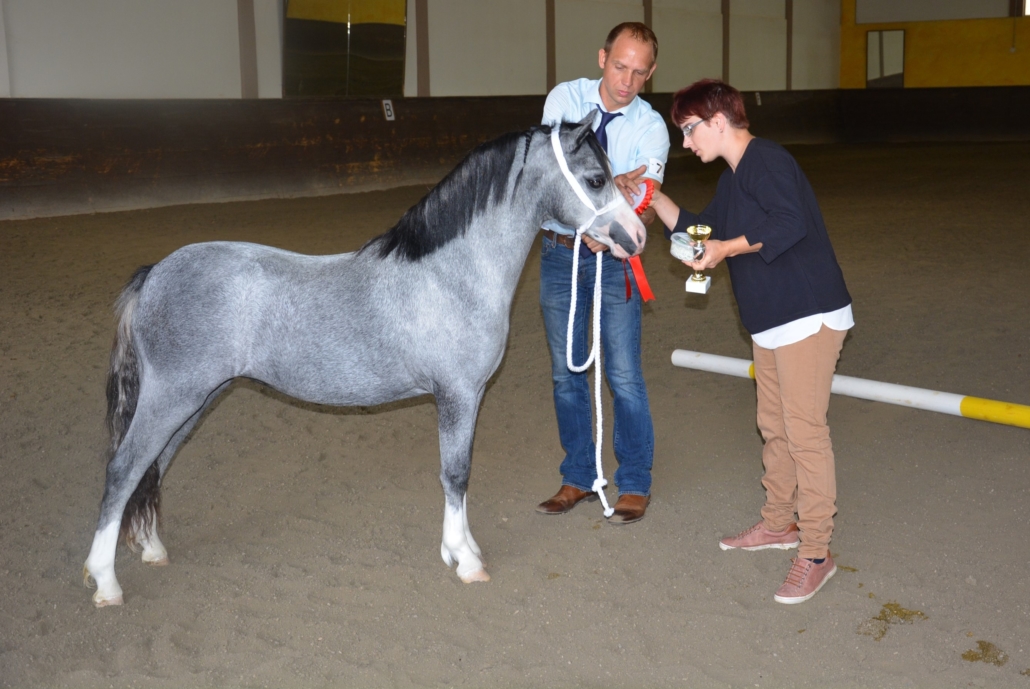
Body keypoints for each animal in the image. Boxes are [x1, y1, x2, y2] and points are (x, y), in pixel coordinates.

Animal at [83, 118, 647, 607]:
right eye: (596, 179)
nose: (637, 237)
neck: (451, 274)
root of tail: (154, 274)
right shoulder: (458, 396)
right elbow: (456, 473)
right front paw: (464, 559)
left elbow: (457, 474)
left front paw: (461, 549)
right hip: (172, 397)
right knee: (123, 469)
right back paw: (105, 582)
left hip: (195, 401)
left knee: (152, 467)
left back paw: (153, 550)